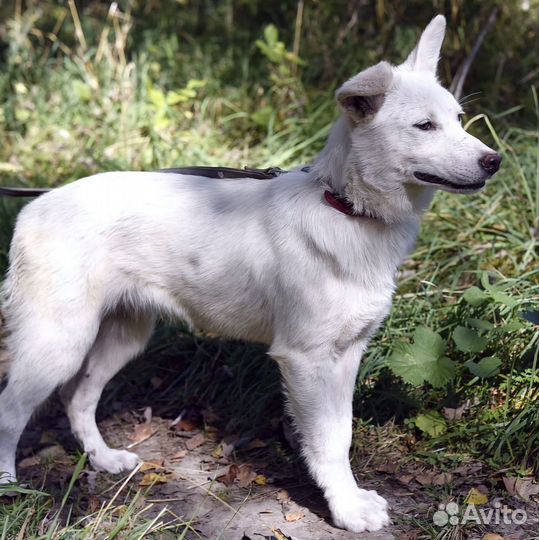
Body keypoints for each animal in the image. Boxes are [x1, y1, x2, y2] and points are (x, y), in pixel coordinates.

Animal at [0, 15, 502, 532]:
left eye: (459, 119)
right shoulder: (305, 359)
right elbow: (325, 443)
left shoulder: (346, 355)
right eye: (425, 126)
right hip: (58, 342)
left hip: (123, 335)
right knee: (11, 411)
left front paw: (349, 498)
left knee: (78, 399)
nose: (494, 161)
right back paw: (9, 485)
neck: (345, 207)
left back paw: (103, 459)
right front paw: (345, 509)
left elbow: (341, 435)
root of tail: (36, 206)